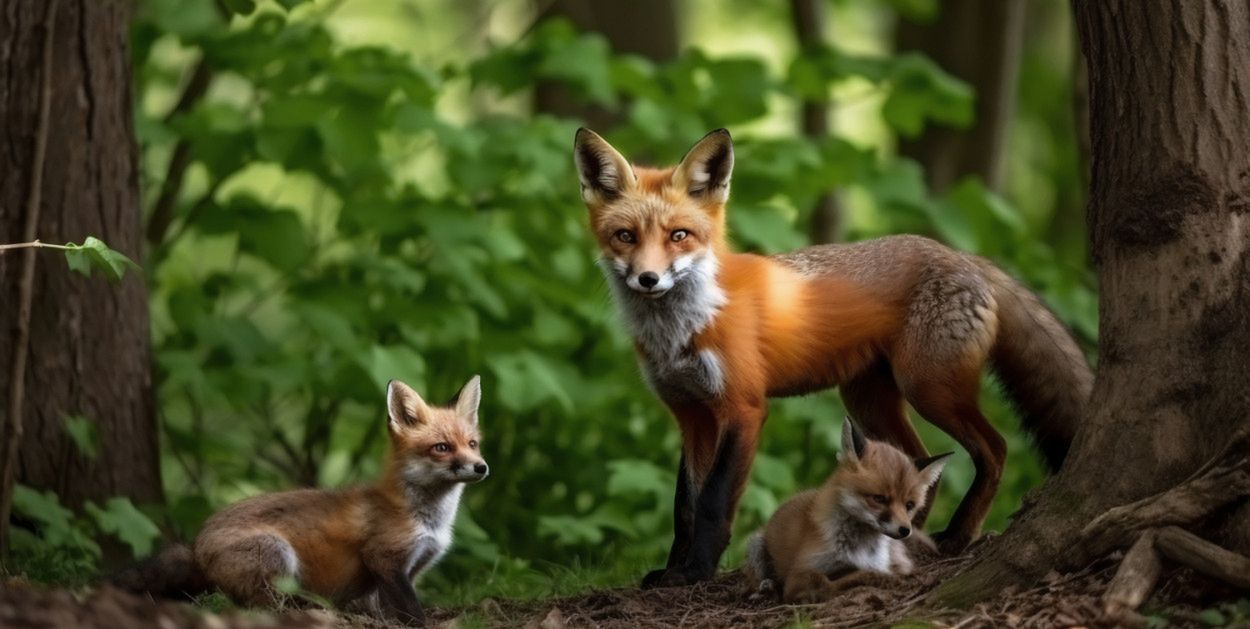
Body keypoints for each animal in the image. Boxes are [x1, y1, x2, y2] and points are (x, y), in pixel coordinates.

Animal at [575, 128, 1095, 590]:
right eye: (625, 236)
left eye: (679, 235)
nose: (647, 279)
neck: (686, 327)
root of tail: (961, 254)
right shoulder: (691, 414)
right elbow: (684, 504)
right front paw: (673, 569)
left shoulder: (742, 408)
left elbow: (713, 502)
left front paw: (696, 573)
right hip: (868, 399)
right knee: (918, 464)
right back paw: (909, 536)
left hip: (928, 389)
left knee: (995, 449)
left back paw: (958, 535)